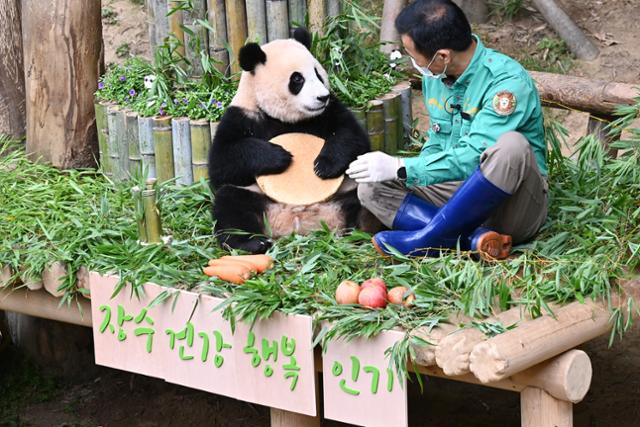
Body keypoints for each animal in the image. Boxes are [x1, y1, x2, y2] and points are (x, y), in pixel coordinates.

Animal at [208, 27, 372, 254]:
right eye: (297, 79)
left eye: (318, 74)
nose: (322, 97)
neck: (286, 118)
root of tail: (296, 221)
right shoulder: (242, 115)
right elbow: (221, 162)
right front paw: (279, 157)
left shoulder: (329, 111)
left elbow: (352, 137)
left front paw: (324, 165)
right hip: (254, 197)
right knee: (230, 205)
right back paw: (252, 243)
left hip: (346, 191)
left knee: (362, 194)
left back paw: (363, 229)